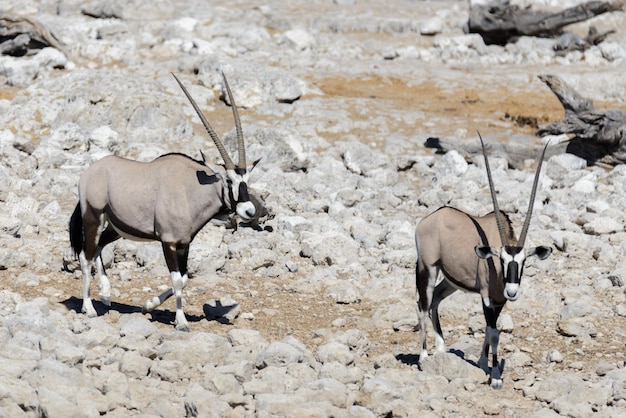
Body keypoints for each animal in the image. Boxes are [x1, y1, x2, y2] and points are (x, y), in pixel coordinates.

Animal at [69, 72, 260, 334]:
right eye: (229, 180)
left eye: (247, 180)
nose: (249, 210)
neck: (191, 189)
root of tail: (89, 172)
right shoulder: (168, 242)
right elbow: (177, 279)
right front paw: (181, 322)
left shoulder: (184, 244)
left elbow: (185, 278)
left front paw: (148, 305)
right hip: (93, 219)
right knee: (85, 256)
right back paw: (88, 307)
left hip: (117, 228)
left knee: (98, 247)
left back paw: (106, 294)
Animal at [414, 135, 552, 388]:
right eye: (501, 260)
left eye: (524, 262)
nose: (512, 292)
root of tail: (430, 218)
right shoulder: (486, 297)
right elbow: (494, 332)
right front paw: (495, 377)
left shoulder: (499, 301)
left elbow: (490, 330)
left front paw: (482, 363)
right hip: (428, 268)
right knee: (423, 304)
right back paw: (423, 357)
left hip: (451, 279)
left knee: (436, 299)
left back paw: (441, 349)